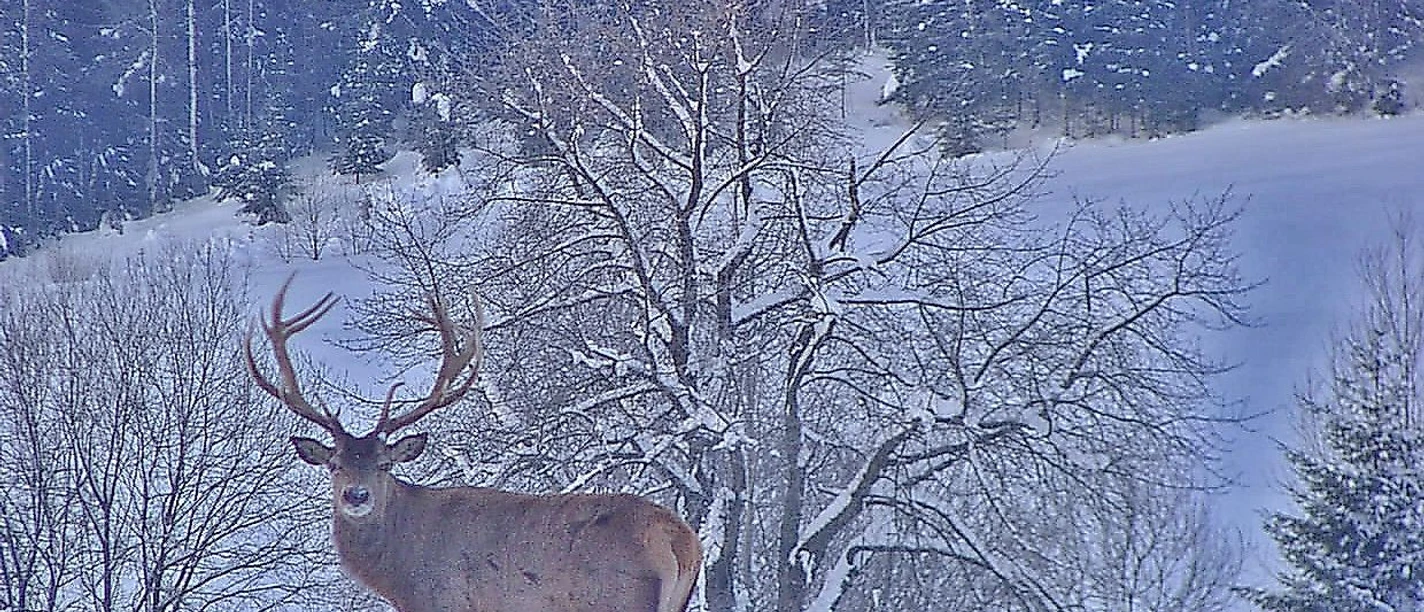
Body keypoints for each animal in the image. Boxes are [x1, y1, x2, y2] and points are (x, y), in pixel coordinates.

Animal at [243, 277, 702, 612]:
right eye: (334, 463)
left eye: (385, 465)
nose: (356, 495)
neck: (398, 576)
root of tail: (681, 542)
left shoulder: (444, 601)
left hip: (620, 599)